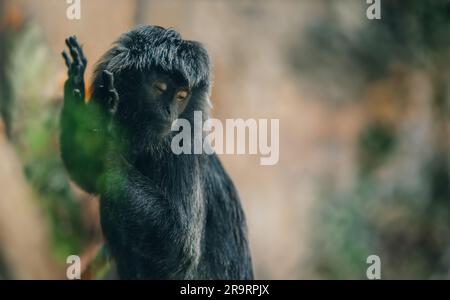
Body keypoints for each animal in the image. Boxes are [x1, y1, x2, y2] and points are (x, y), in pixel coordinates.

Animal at [60, 25, 253, 278]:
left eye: (181, 96)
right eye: (160, 88)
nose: (170, 112)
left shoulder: (183, 145)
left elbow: (181, 244)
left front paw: (104, 143)